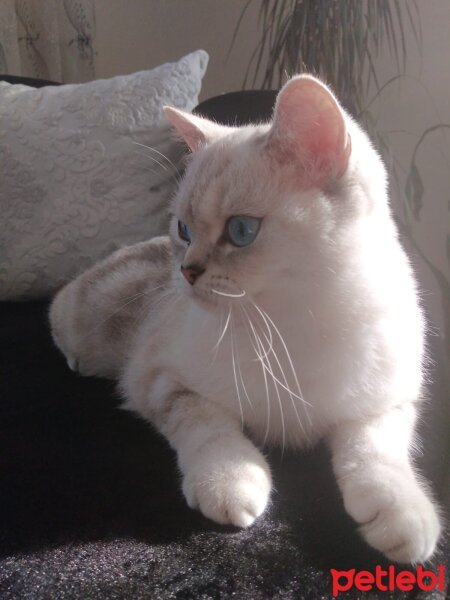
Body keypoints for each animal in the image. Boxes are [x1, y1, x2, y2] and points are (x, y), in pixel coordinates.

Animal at [49, 75, 440, 564]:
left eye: (241, 231)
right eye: (184, 230)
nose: (186, 271)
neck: (293, 322)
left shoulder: (386, 402)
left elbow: (377, 453)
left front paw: (403, 519)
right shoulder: (163, 381)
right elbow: (213, 432)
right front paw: (231, 487)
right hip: (86, 326)